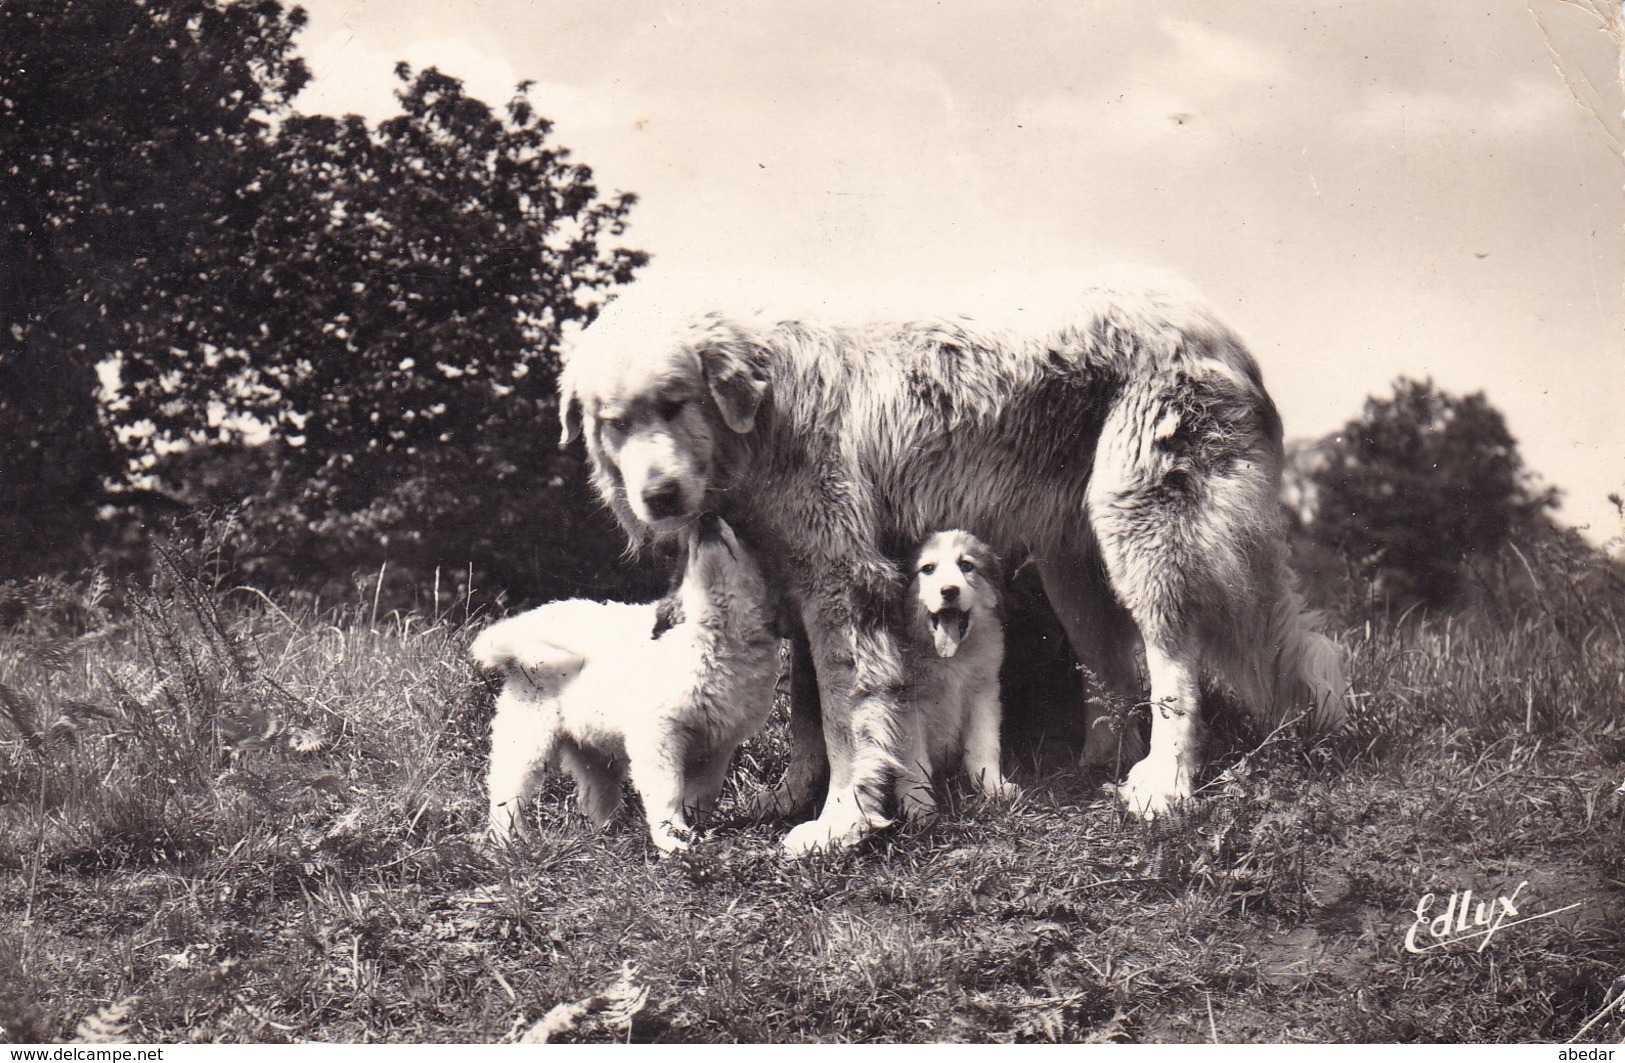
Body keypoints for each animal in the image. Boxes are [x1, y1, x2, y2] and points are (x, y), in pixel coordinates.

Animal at [471, 516, 780, 858]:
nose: (707, 517)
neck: (713, 631)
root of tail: (523, 626)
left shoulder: (717, 745)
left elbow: (704, 793)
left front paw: (695, 829)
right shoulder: (658, 734)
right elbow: (669, 788)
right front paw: (672, 837)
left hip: (591, 746)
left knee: (597, 793)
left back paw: (605, 834)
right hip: (528, 735)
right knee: (508, 792)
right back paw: (505, 842)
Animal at [903, 533, 1014, 825]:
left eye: (966, 565)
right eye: (928, 569)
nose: (949, 591)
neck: (950, 659)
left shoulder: (983, 693)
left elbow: (984, 744)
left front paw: (994, 786)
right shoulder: (906, 708)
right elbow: (914, 762)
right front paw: (919, 805)